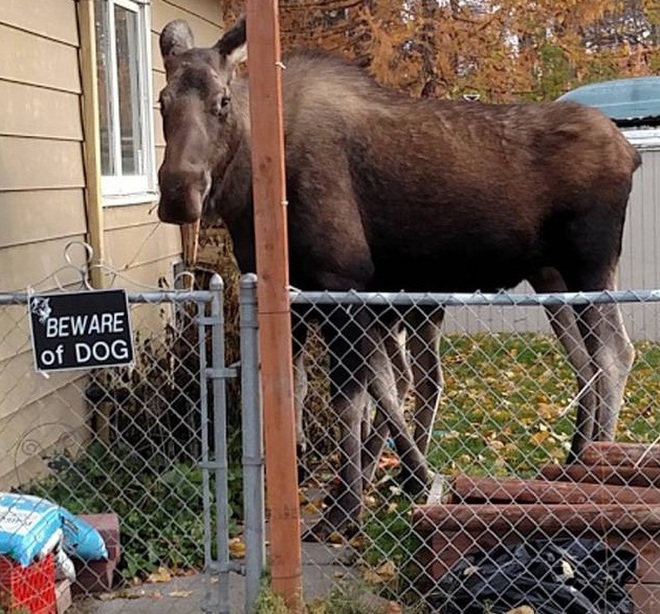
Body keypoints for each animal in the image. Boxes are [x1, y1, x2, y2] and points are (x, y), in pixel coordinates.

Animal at [155, 16, 640, 540]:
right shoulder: (303, 297)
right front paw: (391, 476)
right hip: (553, 279)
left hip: (590, 265)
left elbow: (353, 397)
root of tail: (629, 153)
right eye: (162, 100)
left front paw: (346, 508)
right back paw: (574, 459)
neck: (250, 194)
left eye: (222, 101)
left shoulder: (341, 282)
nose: (179, 193)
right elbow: (322, 387)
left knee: (614, 355)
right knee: (584, 364)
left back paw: (596, 472)